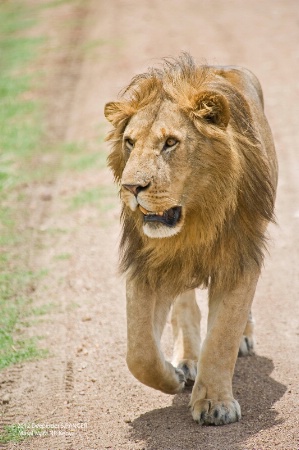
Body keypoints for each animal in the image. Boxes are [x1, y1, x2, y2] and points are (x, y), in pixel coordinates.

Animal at [104, 53, 278, 426]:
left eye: (170, 142)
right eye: (129, 142)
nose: (131, 188)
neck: (196, 218)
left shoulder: (240, 258)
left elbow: (223, 336)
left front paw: (214, 403)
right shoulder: (146, 264)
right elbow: (139, 353)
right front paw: (173, 377)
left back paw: (243, 338)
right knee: (184, 306)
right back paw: (185, 360)